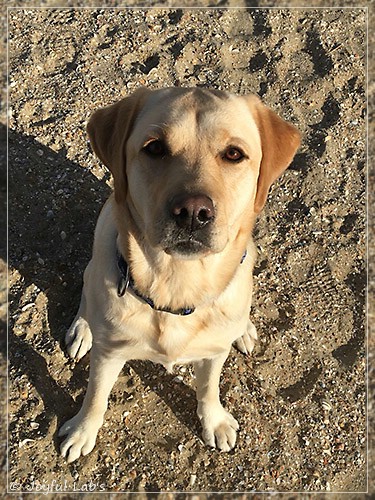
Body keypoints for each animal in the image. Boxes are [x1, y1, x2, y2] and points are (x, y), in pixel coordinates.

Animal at [58, 87, 302, 464]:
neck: (177, 283)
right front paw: (83, 430)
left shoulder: (214, 353)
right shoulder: (109, 354)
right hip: (95, 261)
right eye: (155, 148)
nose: (192, 212)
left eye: (234, 154)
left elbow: (208, 389)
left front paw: (215, 421)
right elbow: (96, 395)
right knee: (88, 297)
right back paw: (83, 329)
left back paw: (244, 330)